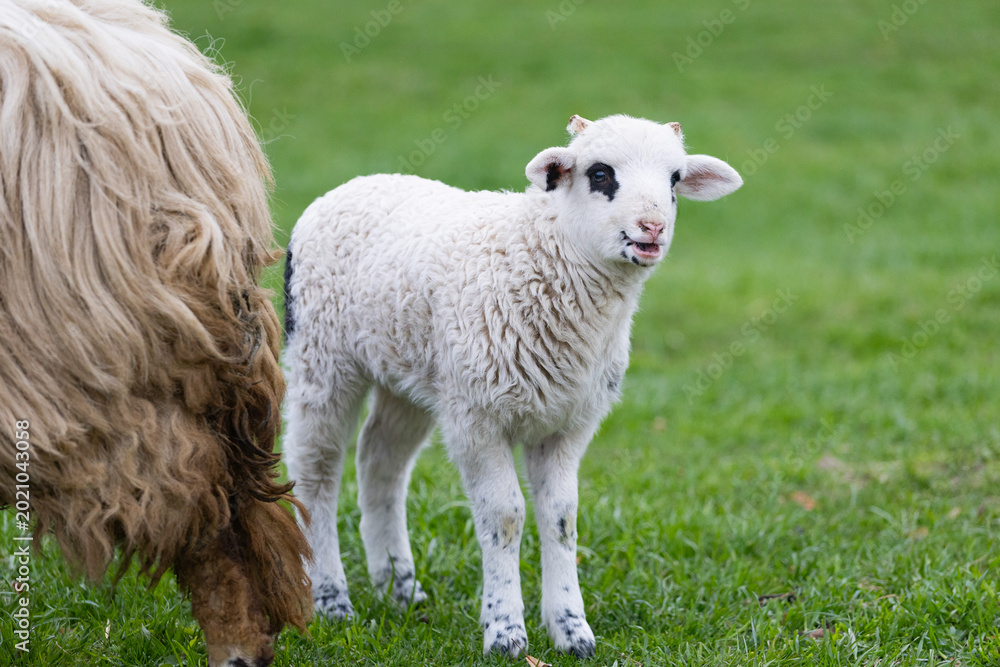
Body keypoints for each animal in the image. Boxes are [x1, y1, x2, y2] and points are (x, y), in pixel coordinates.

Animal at [282, 113, 742, 657]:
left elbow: (562, 517)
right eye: (600, 174)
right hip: (322, 356)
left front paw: (571, 630)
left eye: (674, 180)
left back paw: (399, 587)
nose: (653, 228)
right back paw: (331, 599)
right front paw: (504, 632)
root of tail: (349, 186)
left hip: (413, 371)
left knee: (380, 463)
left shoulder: (568, 422)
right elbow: (505, 516)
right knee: (316, 471)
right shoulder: (477, 419)